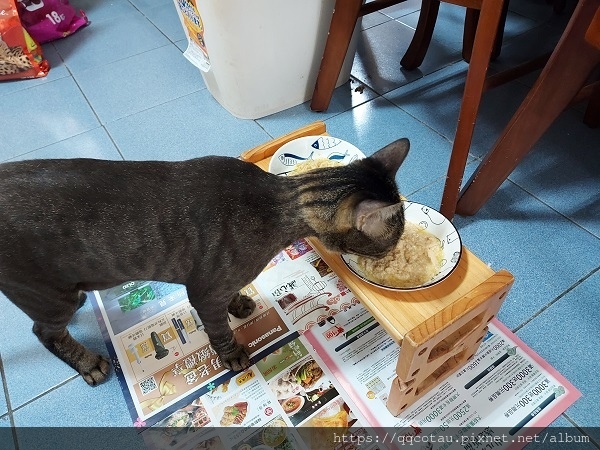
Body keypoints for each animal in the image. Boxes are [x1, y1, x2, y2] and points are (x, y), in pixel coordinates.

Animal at [0, 139, 408, 384]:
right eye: (394, 237)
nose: (394, 251)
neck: (279, 202)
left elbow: (230, 302)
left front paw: (240, 303)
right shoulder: (204, 291)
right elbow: (219, 330)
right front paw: (233, 355)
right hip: (49, 297)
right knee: (45, 332)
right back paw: (89, 363)